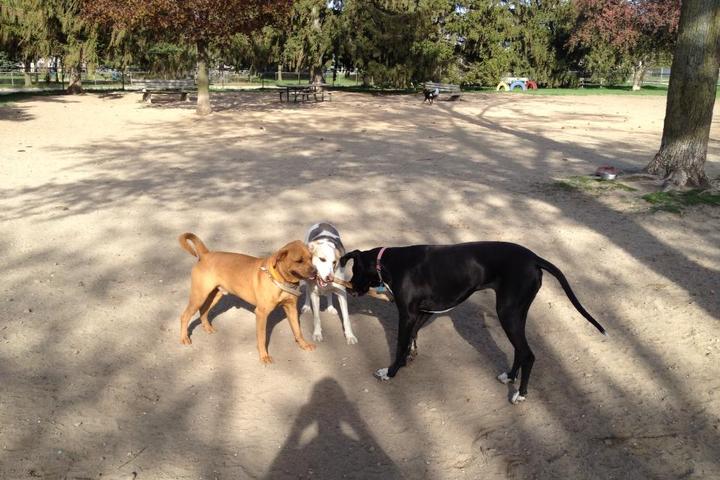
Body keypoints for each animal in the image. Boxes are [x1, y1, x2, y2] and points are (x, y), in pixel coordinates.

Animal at [179, 233, 316, 364]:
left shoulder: (291, 308)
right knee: (185, 316)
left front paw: (303, 344)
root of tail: (206, 254)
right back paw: (184, 337)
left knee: (203, 310)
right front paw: (264, 356)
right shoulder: (261, 313)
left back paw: (207, 327)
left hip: (215, 295)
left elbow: (298, 330)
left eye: (311, 258)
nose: (315, 271)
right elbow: (262, 337)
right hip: (199, 296)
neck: (279, 280)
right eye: (299, 261)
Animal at [340, 242, 604, 404]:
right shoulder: (422, 312)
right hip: (517, 314)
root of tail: (534, 258)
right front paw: (408, 359)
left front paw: (391, 371)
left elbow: (399, 344)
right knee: (520, 350)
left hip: (507, 313)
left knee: (528, 354)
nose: (351, 288)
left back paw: (520, 394)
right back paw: (509, 377)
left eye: (355, 271)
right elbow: (411, 338)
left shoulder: (407, 314)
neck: (389, 262)